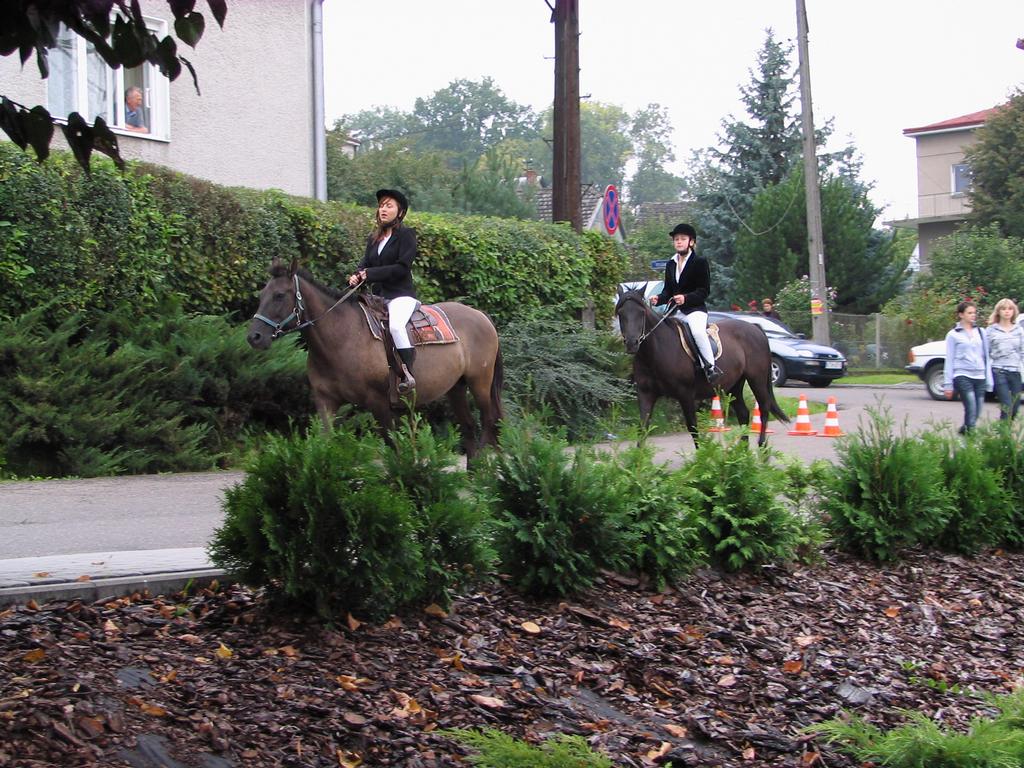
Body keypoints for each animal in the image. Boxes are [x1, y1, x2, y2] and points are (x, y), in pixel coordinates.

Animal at [247, 260, 503, 458]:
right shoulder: (325, 400)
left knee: (488, 422)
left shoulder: (379, 403)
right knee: (468, 427)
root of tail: (480, 315)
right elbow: (325, 439)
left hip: (479, 383)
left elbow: (392, 445)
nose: (254, 337)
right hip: (456, 388)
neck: (342, 337)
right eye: (262, 294)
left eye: (279, 295)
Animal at [614, 288, 788, 447]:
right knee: (743, 414)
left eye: (641, 312)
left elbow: (693, 428)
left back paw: (762, 447)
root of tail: (755, 327)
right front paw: (638, 459)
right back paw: (742, 451)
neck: (657, 351)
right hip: (734, 385)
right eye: (621, 313)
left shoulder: (685, 394)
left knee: (763, 408)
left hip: (757, 379)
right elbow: (643, 428)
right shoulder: (645, 393)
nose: (632, 343)